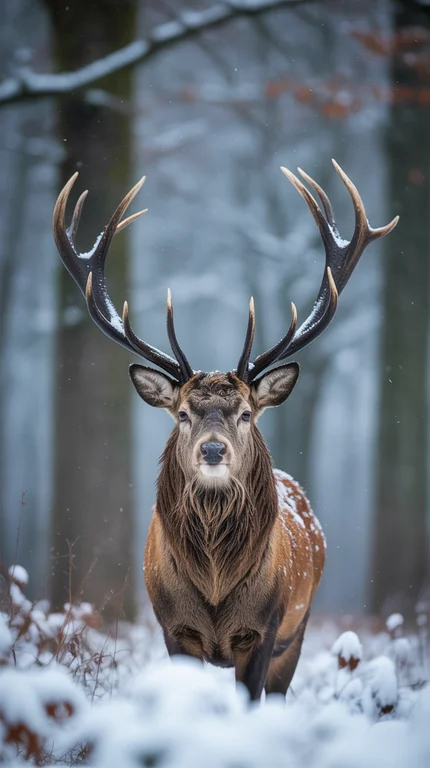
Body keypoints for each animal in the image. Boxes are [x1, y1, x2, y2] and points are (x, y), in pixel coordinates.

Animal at [53, 160, 398, 701]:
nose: (213, 451)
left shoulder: (267, 627)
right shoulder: (171, 627)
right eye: (182, 414)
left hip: (299, 628)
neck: (215, 593)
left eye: (246, 414)